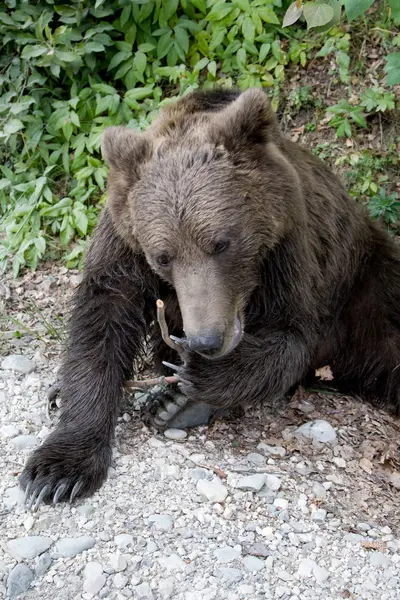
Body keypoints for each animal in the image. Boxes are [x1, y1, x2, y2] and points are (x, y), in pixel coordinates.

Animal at [19, 85, 400, 506]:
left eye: (221, 243)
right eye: (162, 256)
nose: (205, 340)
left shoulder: (288, 248)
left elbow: (290, 334)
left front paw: (197, 376)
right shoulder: (123, 243)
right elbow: (102, 319)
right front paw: (57, 471)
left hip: (368, 286)